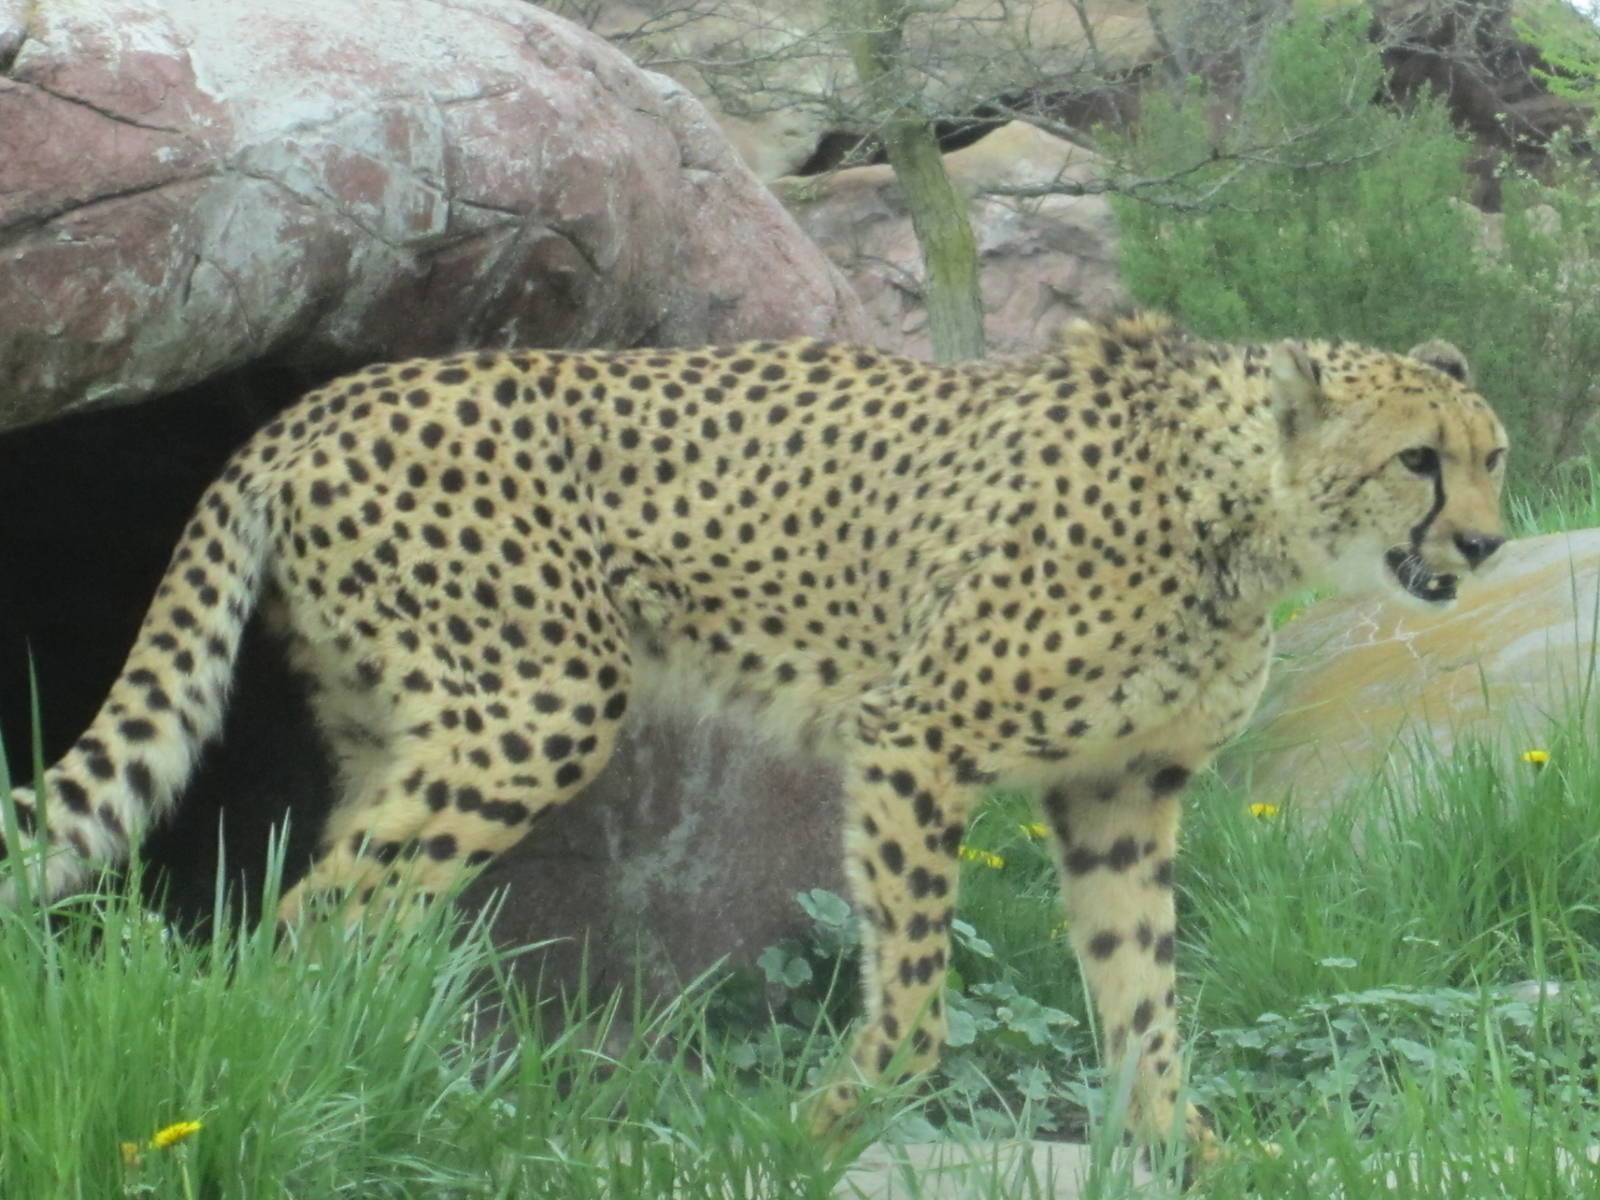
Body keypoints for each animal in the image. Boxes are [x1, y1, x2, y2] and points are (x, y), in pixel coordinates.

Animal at [0, 312, 1508, 1154]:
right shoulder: (914, 735)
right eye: (1417, 460)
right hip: (542, 703)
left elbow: (1143, 997)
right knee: (315, 918)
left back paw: (376, 1083)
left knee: (351, 907)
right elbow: (916, 993)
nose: (1491, 545)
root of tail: (325, 396)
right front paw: (830, 1125)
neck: (1241, 515)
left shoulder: (1118, 790)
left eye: (1490, 456)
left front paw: (1186, 1147)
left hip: (399, 724)